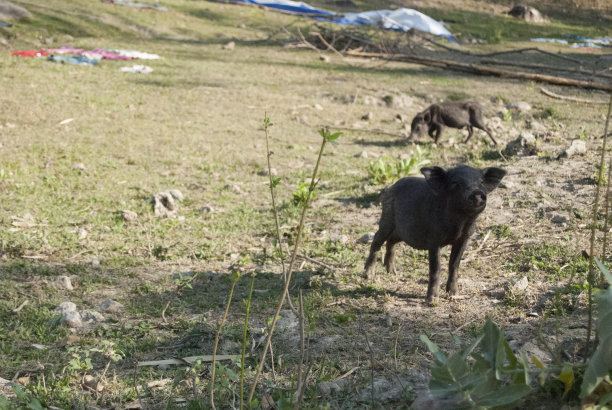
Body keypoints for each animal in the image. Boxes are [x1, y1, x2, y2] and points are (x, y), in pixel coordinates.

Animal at [366, 165, 504, 302]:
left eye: (481, 183)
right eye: (456, 183)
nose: (477, 193)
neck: (459, 223)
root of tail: (391, 186)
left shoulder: (464, 238)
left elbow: (454, 264)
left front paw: (453, 295)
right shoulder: (433, 239)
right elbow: (436, 267)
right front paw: (432, 299)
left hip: (401, 232)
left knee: (391, 242)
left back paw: (393, 273)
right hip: (387, 219)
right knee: (377, 240)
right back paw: (369, 275)